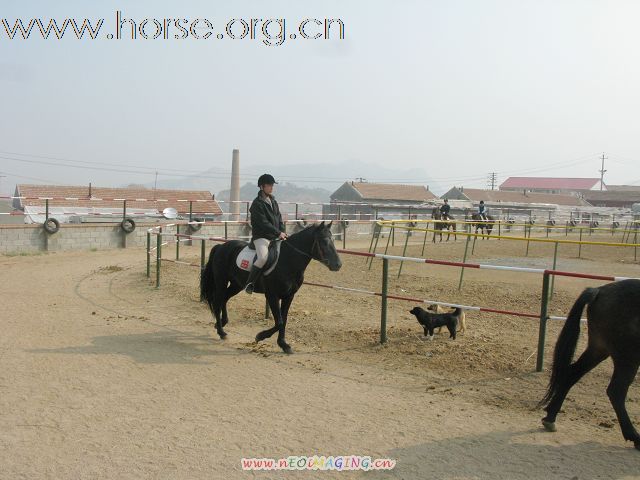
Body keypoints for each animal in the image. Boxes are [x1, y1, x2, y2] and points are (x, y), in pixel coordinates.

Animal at [200, 221, 342, 352]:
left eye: (332, 240)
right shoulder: (272, 295)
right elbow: (279, 321)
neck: (288, 260)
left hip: (237, 285)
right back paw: (221, 332)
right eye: (324, 241)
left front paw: (283, 344)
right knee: (217, 302)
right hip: (221, 281)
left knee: (224, 298)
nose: (338, 265)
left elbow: (284, 320)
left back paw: (222, 324)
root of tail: (221, 246)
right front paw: (260, 336)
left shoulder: (289, 296)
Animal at [540, 278, 640, 450]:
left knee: (572, 374)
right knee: (616, 391)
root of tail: (599, 290)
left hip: (599, 349)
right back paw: (635, 437)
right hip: (627, 357)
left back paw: (550, 417)